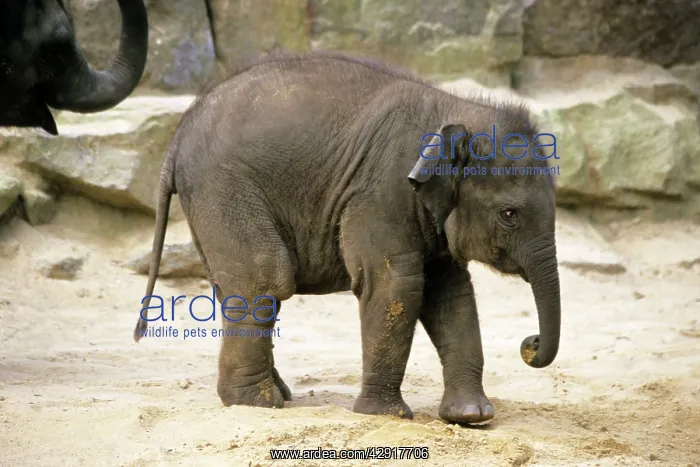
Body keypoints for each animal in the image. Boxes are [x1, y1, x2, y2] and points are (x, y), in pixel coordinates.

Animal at [133, 51, 561, 425]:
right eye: (510, 215)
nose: (530, 344)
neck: (453, 110)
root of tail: (179, 134)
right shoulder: (379, 193)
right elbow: (394, 286)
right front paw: (387, 415)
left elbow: (451, 293)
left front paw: (472, 418)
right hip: (223, 190)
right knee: (265, 278)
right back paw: (257, 404)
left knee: (235, 285)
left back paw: (275, 395)